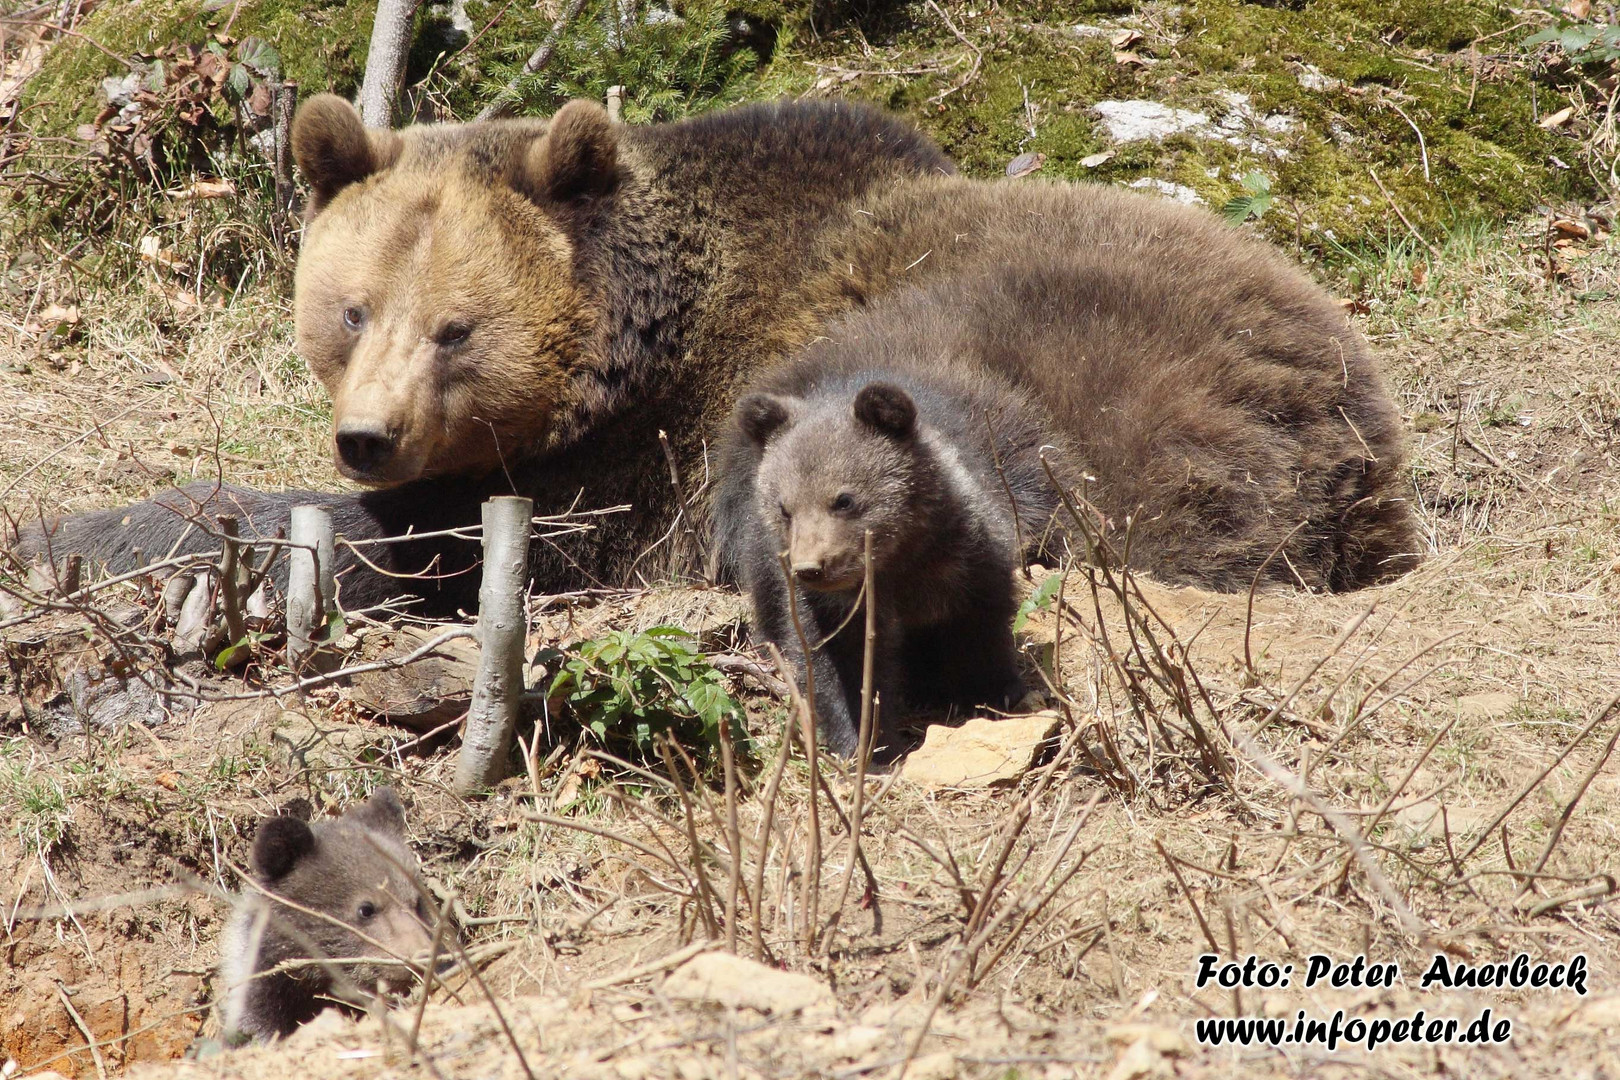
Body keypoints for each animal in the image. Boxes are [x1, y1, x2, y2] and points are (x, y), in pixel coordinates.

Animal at [12, 95, 1412, 612]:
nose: (368, 437)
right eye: (349, 310)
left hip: (1087, 349)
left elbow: (460, 537)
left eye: (456, 328)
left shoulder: (651, 456)